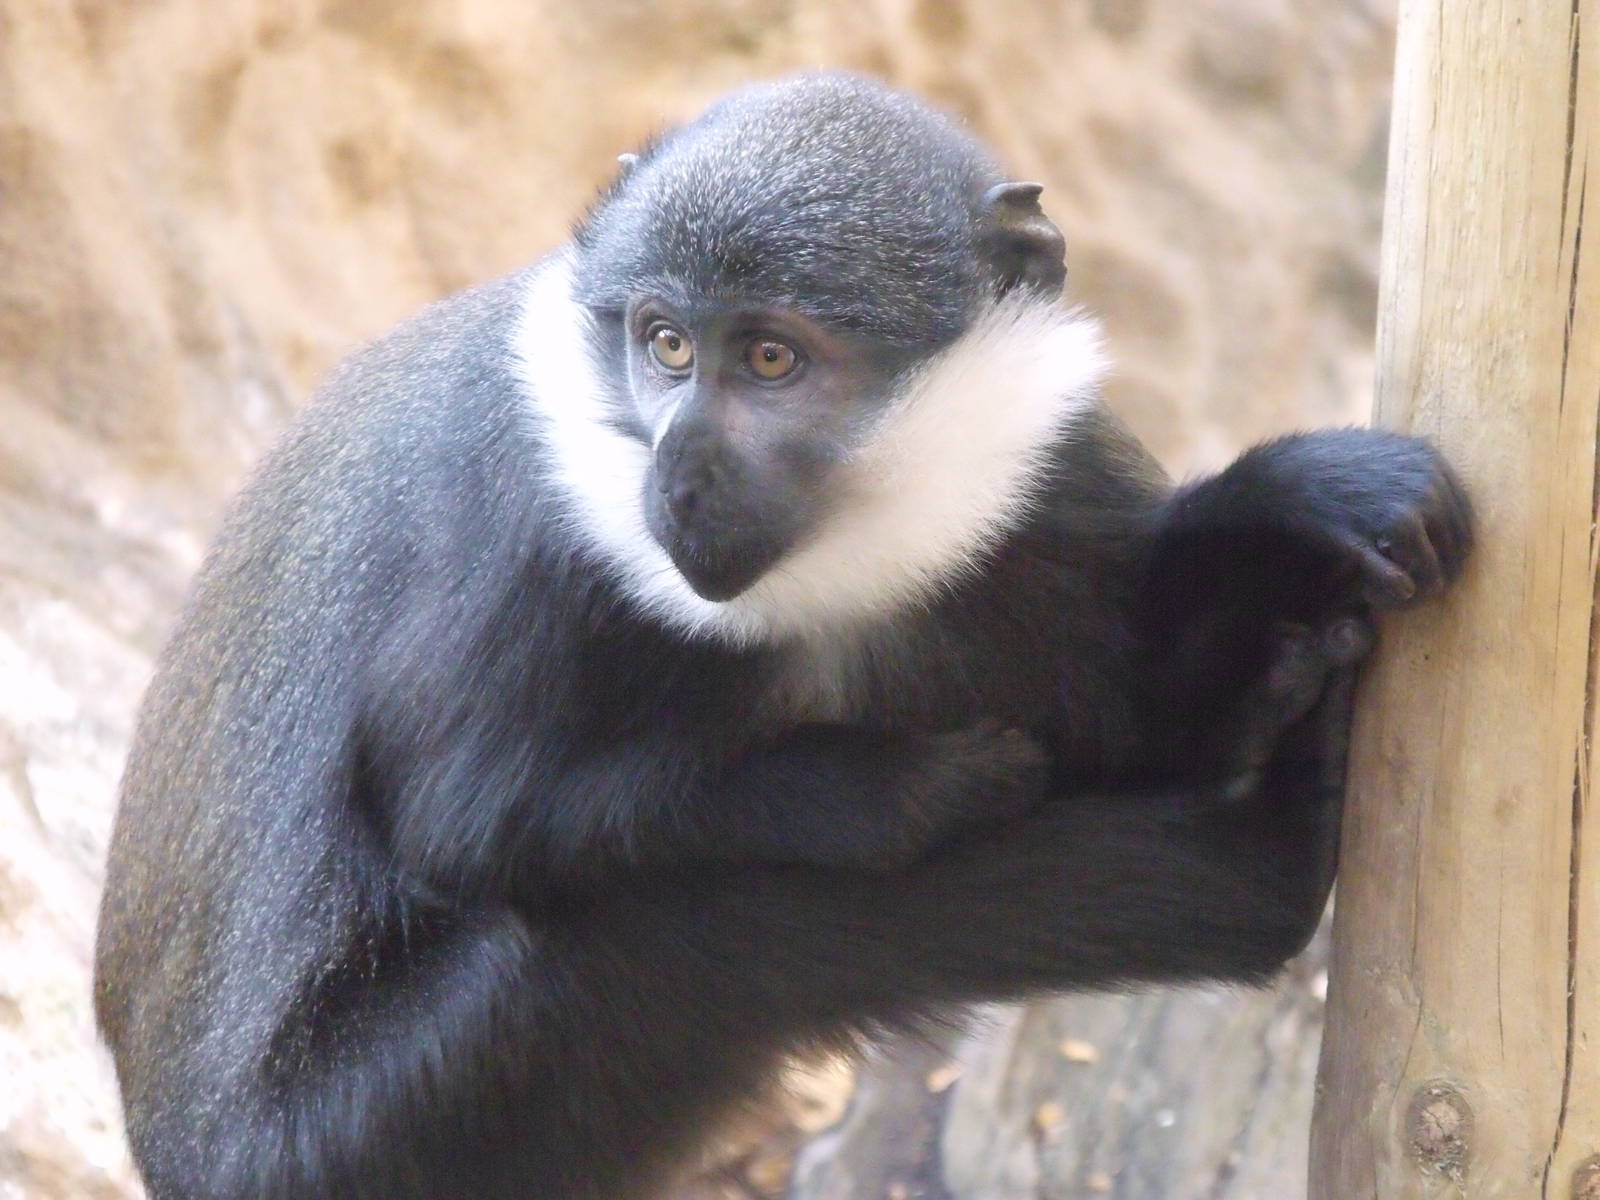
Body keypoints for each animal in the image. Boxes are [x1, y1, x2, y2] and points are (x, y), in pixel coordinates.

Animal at [93, 74, 1471, 1200]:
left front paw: (1297, 505)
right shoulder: (519, 539)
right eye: (663, 344)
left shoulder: (1051, 471)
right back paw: (1267, 851)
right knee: (669, 933)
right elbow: (469, 809)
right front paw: (899, 788)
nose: (681, 477)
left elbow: (1142, 717)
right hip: (357, 1130)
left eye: (770, 358)